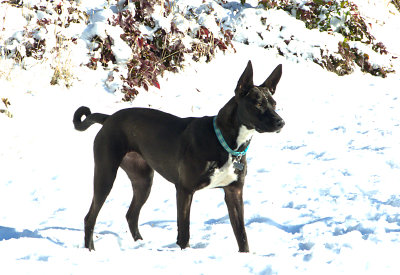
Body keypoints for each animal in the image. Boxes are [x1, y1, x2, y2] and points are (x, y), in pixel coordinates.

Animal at [72, 61, 284, 253]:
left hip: (143, 180)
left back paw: (140, 244)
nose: (281, 122)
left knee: (131, 214)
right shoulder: (184, 190)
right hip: (106, 174)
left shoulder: (234, 192)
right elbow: (184, 231)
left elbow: (241, 234)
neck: (225, 141)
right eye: (258, 104)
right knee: (90, 217)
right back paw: (90, 249)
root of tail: (109, 118)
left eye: (274, 104)